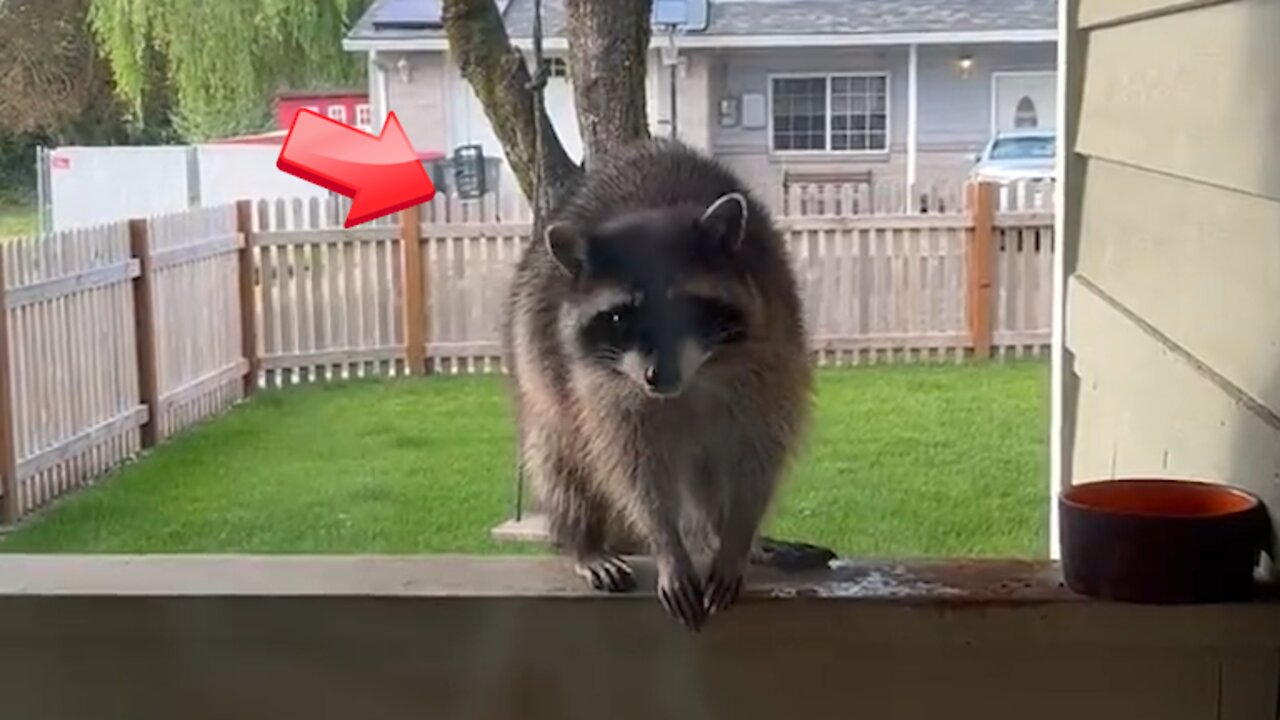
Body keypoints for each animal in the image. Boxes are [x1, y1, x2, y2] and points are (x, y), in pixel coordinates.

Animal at [501, 137, 808, 625]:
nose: (657, 377)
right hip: (537, 358)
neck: (694, 377)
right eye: (619, 317)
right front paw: (668, 547)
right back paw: (586, 540)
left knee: (709, 465)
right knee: (562, 456)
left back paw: (719, 530)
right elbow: (633, 469)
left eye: (683, 308)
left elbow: (758, 456)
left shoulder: (772, 352)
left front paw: (737, 538)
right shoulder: (603, 385)